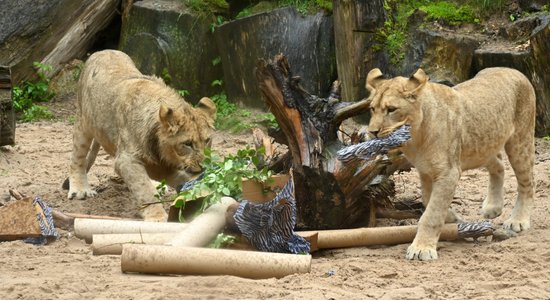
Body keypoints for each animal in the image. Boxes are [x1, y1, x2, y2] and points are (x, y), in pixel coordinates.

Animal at [67, 50, 218, 221]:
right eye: (187, 144)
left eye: (207, 140)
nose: (204, 166)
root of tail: (102, 51)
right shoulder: (126, 160)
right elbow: (145, 191)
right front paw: (157, 217)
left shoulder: (159, 164)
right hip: (83, 122)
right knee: (77, 157)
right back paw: (80, 190)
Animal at [368, 67, 536, 258]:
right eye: (372, 109)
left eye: (391, 109)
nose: (372, 132)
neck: (416, 139)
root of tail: (513, 70)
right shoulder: (425, 171)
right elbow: (428, 200)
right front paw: (452, 218)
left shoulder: (448, 172)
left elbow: (432, 214)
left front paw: (421, 248)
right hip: (482, 148)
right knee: (499, 166)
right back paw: (493, 207)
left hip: (520, 141)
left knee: (527, 183)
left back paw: (518, 220)